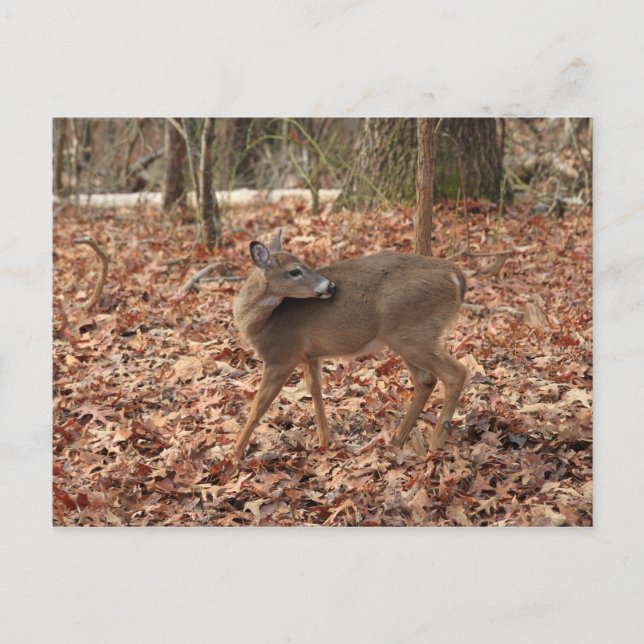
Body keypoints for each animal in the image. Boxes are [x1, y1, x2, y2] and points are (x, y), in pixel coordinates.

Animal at [232, 230, 467, 459]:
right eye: (294, 271)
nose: (330, 286)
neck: (263, 323)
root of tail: (455, 275)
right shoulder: (310, 356)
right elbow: (315, 390)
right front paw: (324, 441)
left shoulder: (281, 357)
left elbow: (258, 406)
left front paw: (235, 455)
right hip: (406, 337)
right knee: (426, 381)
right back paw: (397, 441)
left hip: (412, 333)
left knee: (455, 373)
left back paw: (435, 444)